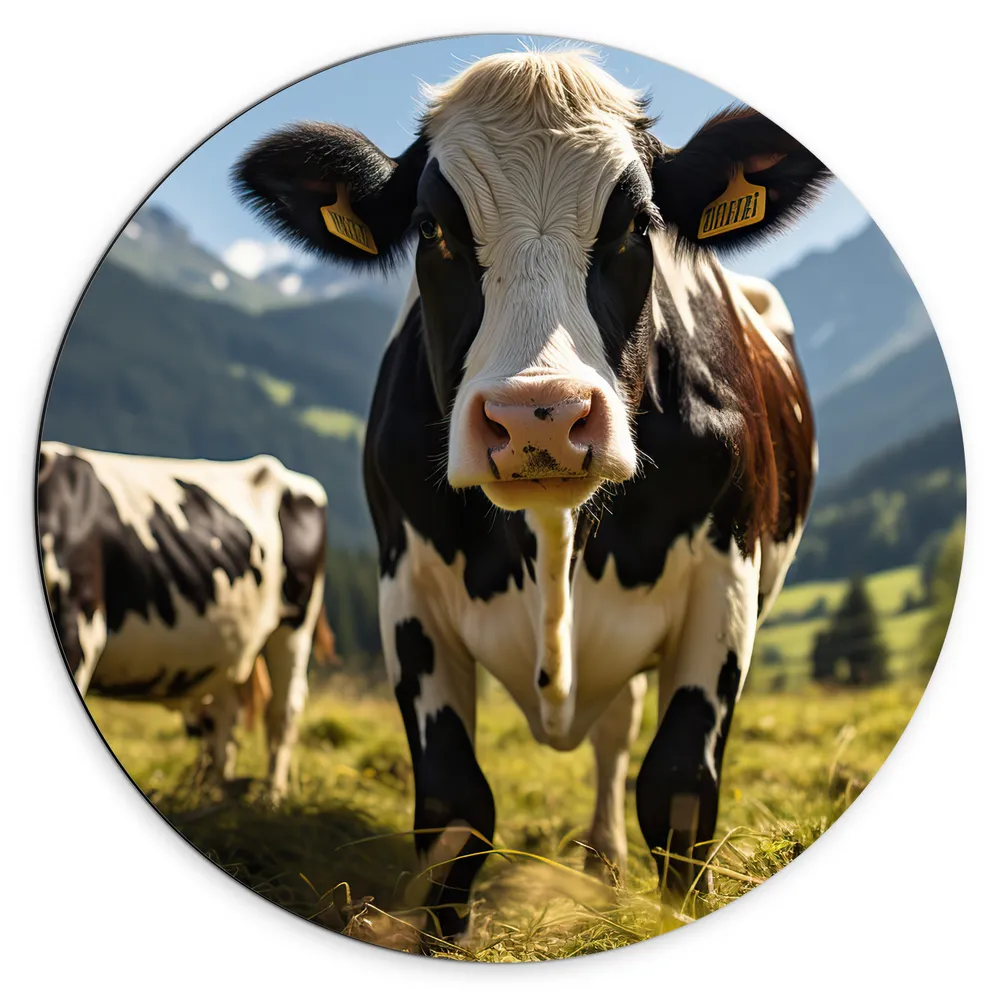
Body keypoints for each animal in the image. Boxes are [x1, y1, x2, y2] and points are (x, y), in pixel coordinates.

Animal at [36, 442, 331, 801]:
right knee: (224, 717)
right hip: (225, 647)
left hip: (293, 625)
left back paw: (270, 800)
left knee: (282, 713)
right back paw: (211, 797)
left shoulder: (80, 626)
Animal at [234, 49, 827, 937]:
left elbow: (678, 791)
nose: (537, 417)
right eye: (435, 230)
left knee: (616, 736)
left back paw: (604, 862)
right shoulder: (406, 585)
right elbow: (454, 803)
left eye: (636, 226)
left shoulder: (727, 577)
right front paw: (442, 939)